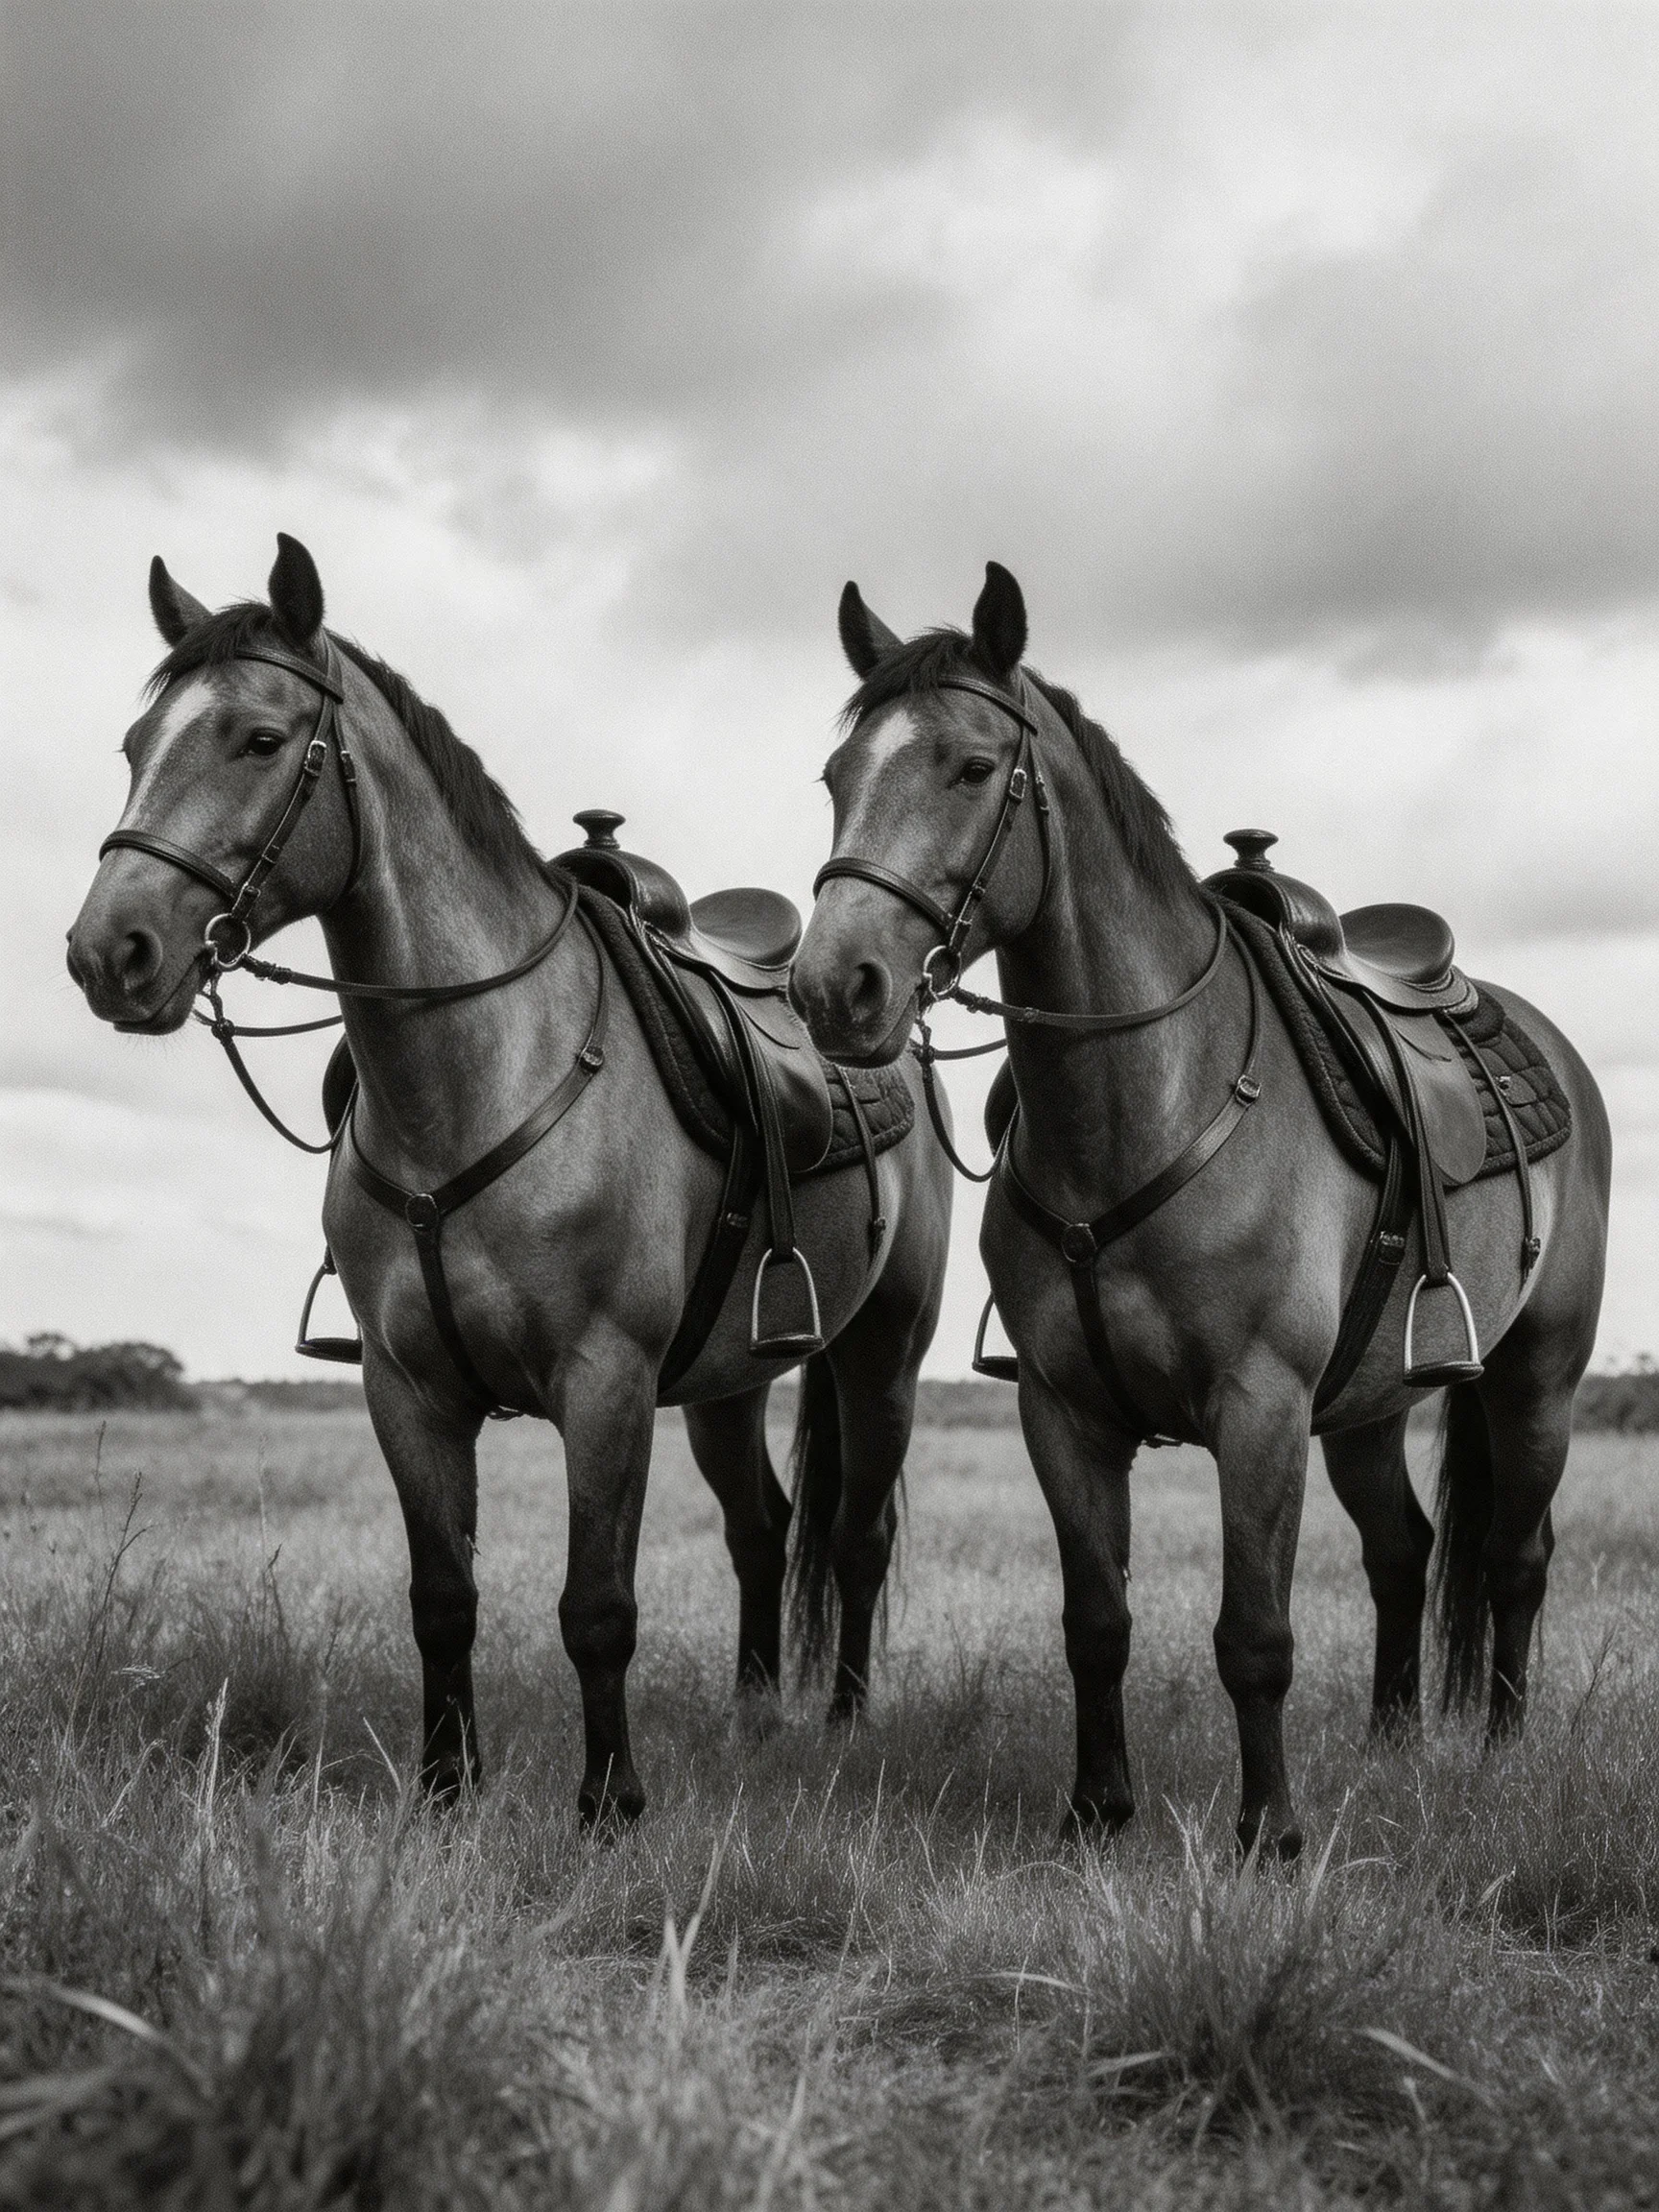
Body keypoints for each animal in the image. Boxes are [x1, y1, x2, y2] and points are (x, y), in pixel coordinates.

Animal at [66, 535, 952, 1826]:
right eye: (137, 747)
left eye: (261, 741)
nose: (107, 954)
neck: (485, 1070)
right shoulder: (408, 1393)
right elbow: (444, 1601)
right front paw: (447, 1788)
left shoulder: (605, 1383)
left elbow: (598, 1608)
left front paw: (611, 1802)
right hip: (731, 1380)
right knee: (762, 1526)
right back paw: (753, 1718)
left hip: (881, 1351)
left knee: (854, 1536)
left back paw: (842, 1725)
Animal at [791, 561, 1609, 1859]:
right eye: (836, 778)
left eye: (970, 767)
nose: (836, 989)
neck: (1151, 1097)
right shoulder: (1067, 1416)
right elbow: (1097, 1621)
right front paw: (1097, 1808)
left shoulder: (1259, 1409)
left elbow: (1254, 1636)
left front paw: (1268, 1831)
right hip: (1371, 1409)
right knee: (1405, 1551)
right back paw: (1390, 1741)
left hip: (1536, 1383)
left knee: (1515, 1558)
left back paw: (1501, 1749)